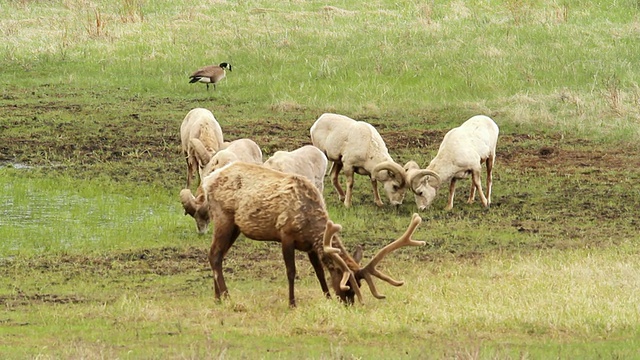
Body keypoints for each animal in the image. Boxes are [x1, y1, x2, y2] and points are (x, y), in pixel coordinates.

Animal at [196, 162, 424, 306]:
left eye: (358, 284)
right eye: (346, 284)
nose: (349, 303)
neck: (310, 223)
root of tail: (206, 181)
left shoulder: (311, 245)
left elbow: (319, 271)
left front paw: (327, 298)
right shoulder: (286, 235)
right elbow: (291, 272)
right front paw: (292, 303)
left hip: (234, 226)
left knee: (217, 256)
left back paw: (217, 298)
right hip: (223, 218)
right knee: (214, 254)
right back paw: (226, 296)